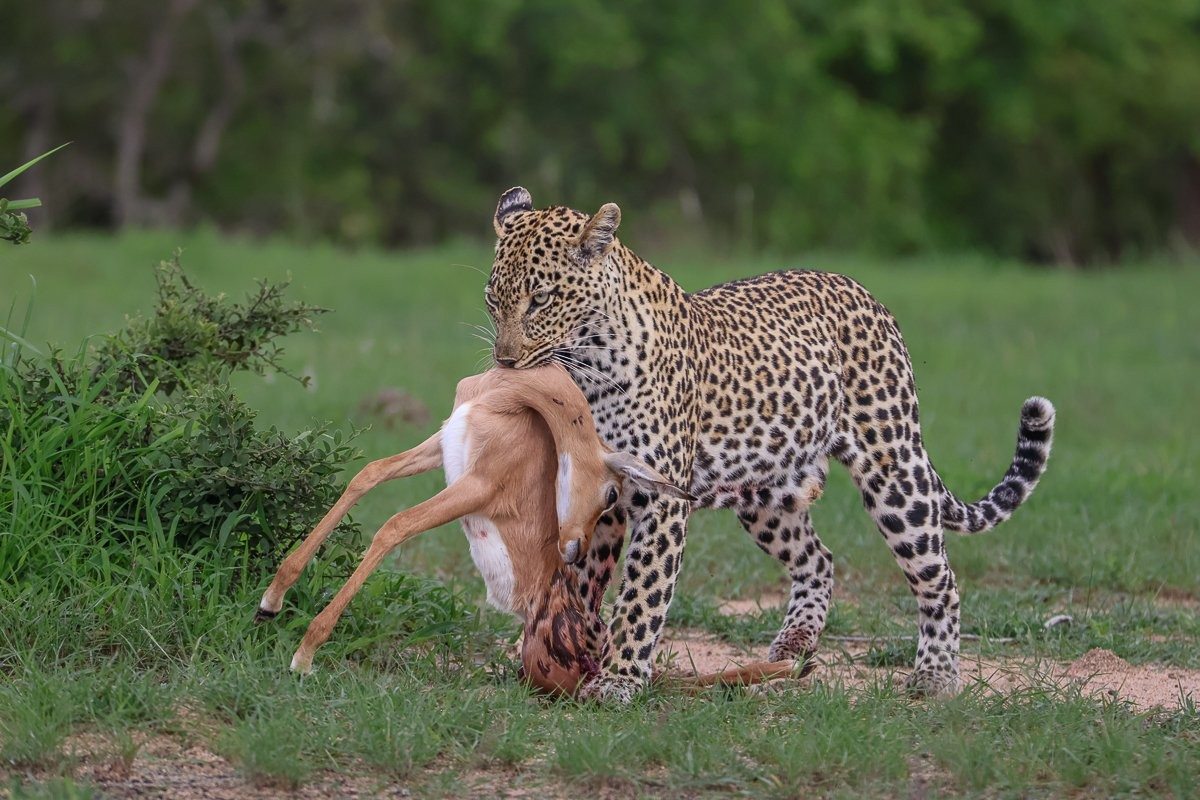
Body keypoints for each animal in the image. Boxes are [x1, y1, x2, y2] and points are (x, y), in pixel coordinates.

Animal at [483, 186, 1056, 703]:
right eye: (493, 302)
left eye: (540, 300)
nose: (506, 362)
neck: (589, 369)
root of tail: (865, 293)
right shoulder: (596, 495)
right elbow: (582, 585)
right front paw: (564, 649)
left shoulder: (660, 498)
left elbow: (642, 594)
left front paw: (620, 679)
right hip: (766, 493)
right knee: (819, 559)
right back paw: (793, 647)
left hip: (893, 472)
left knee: (939, 578)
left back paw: (936, 675)